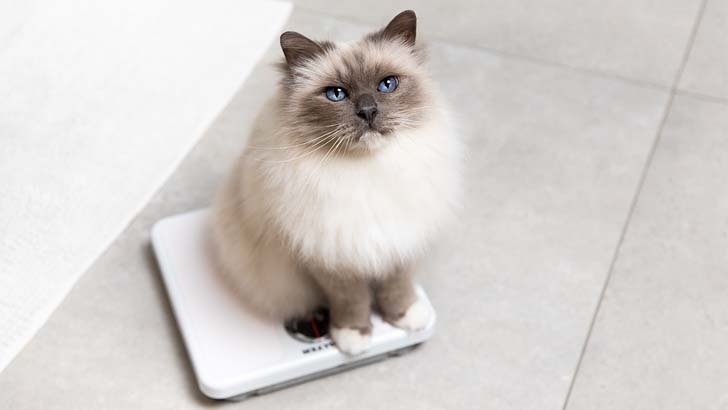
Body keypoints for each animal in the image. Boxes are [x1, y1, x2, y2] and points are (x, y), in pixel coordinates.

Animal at [210, 10, 460, 356]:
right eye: (336, 94)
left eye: (387, 85)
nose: (368, 111)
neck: (367, 172)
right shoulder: (332, 256)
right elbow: (351, 301)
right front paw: (354, 339)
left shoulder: (399, 241)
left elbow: (397, 286)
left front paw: (405, 317)